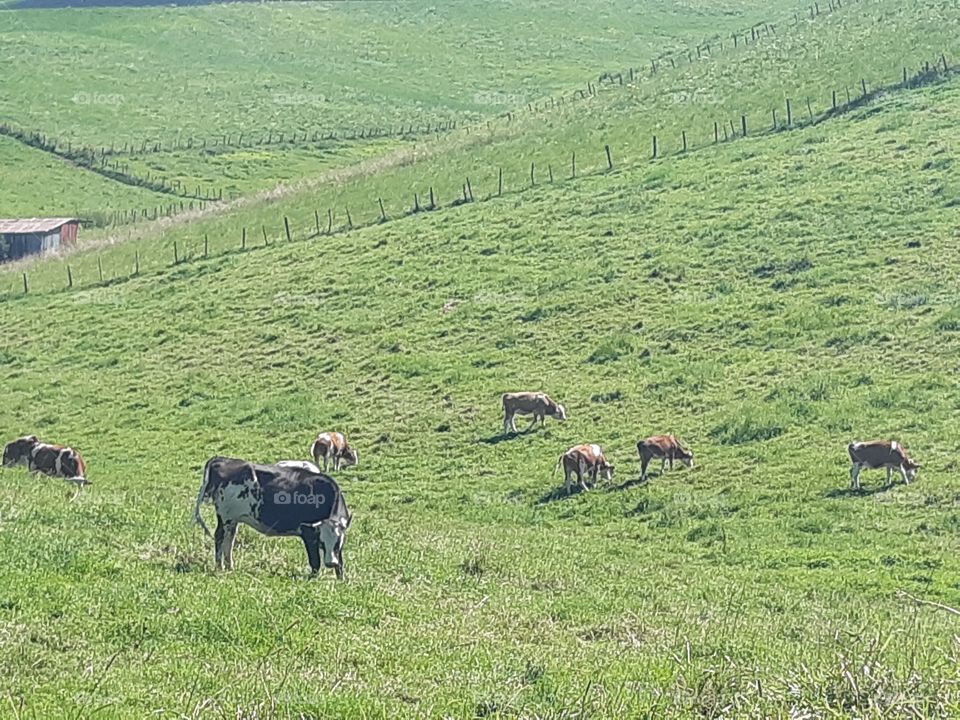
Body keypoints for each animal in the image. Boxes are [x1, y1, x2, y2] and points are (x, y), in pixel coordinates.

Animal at [194, 456, 352, 579]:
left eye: (338, 542)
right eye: (322, 542)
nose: (330, 563)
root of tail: (221, 459)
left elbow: (340, 561)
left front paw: (341, 579)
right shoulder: (308, 533)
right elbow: (315, 562)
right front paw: (313, 578)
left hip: (232, 520)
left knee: (229, 539)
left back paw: (229, 567)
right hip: (225, 517)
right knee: (219, 537)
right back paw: (219, 567)